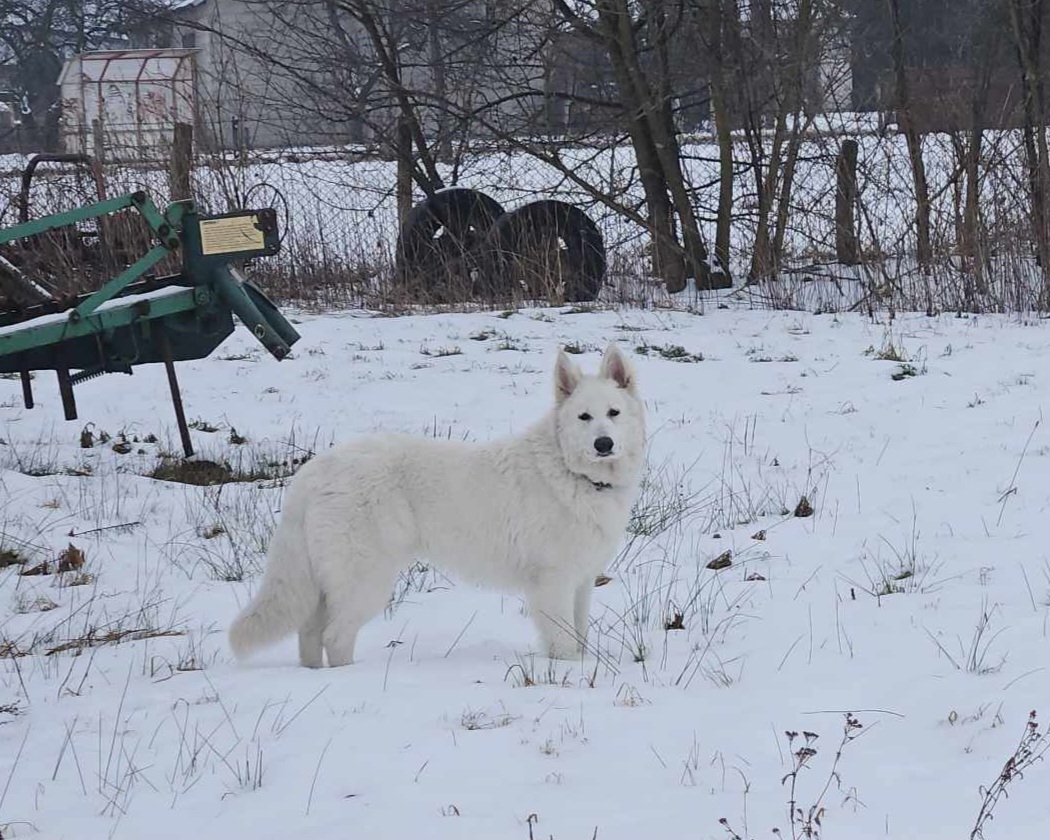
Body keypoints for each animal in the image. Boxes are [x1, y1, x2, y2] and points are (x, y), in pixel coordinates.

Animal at [227, 340, 646, 663]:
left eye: (613, 413)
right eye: (583, 417)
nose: (603, 444)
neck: (574, 473)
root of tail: (313, 472)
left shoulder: (581, 582)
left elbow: (580, 634)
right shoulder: (553, 582)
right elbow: (564, 643)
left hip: (329, 582)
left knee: (310, 632)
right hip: (366, 579)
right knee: (335, 636)